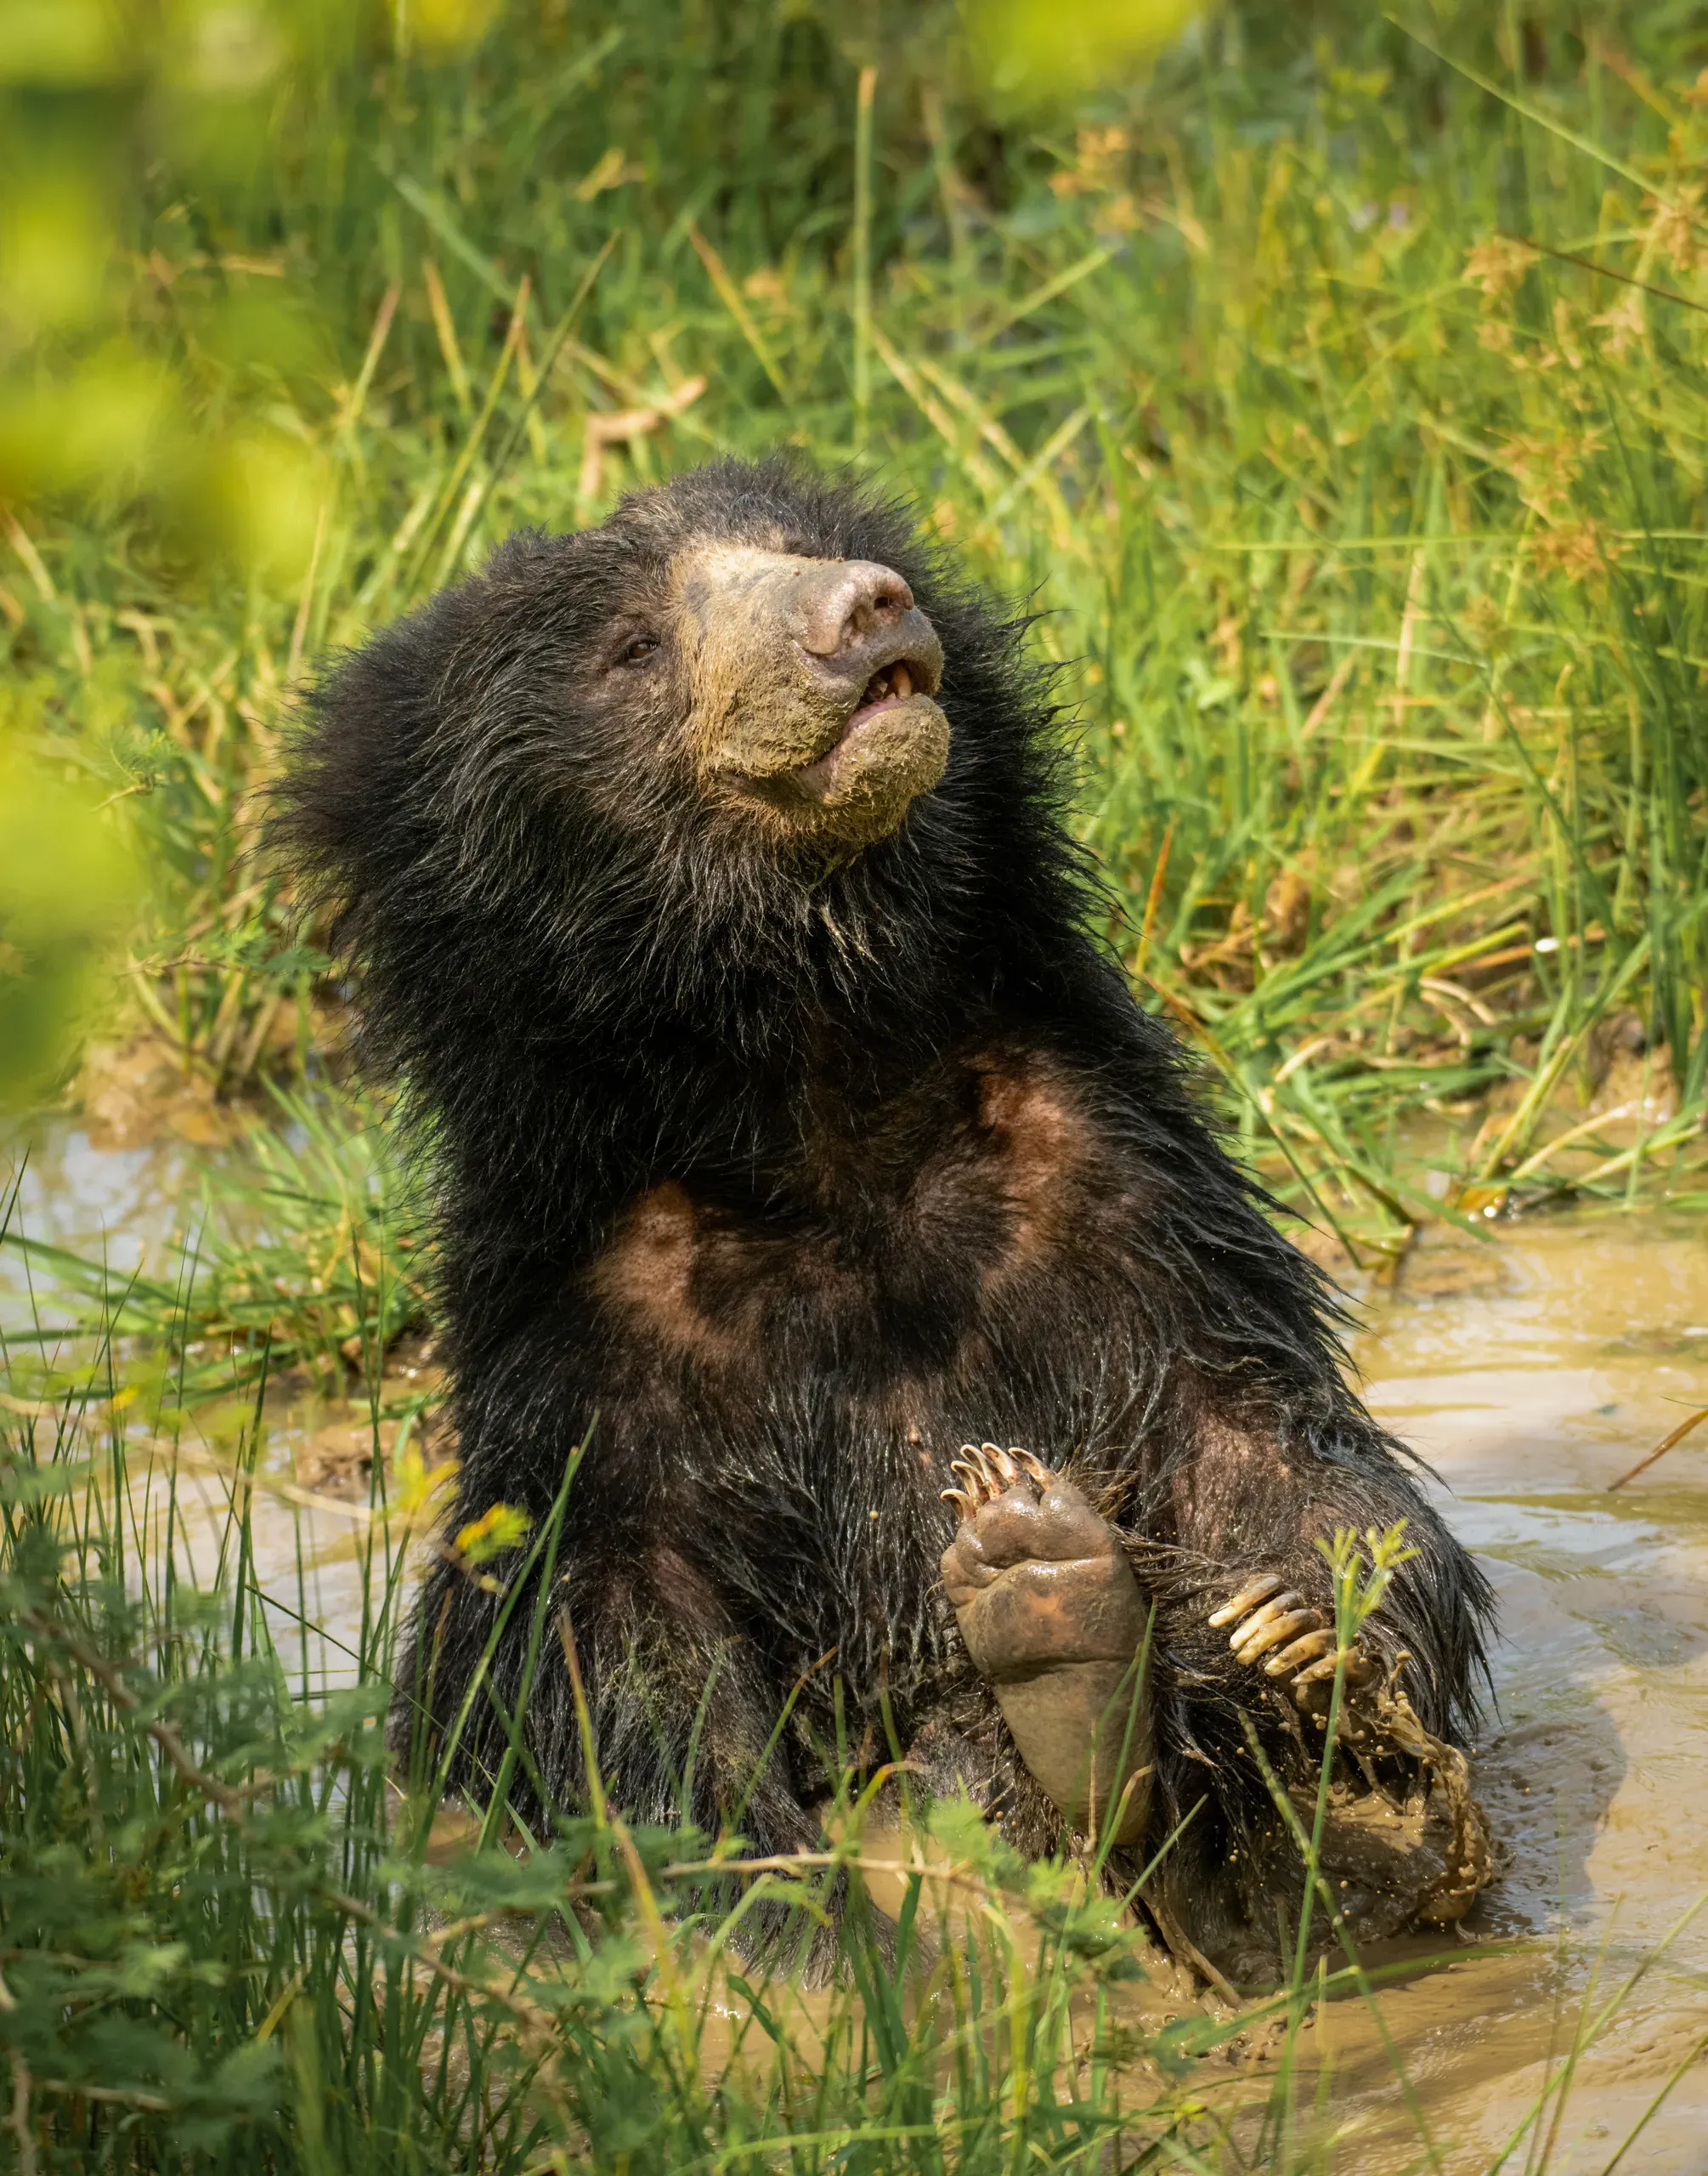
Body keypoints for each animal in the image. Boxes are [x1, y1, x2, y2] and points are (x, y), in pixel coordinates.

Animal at [279, 455, 1495, 1983]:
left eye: (799, 544)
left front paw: (1295, 1625)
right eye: (632, 648)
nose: (862, 610)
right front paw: (780, 1912)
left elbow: (1248, 1426)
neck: (813, 1084)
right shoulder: (594, 1319)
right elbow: (598, 1635)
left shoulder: (1109, 1186)